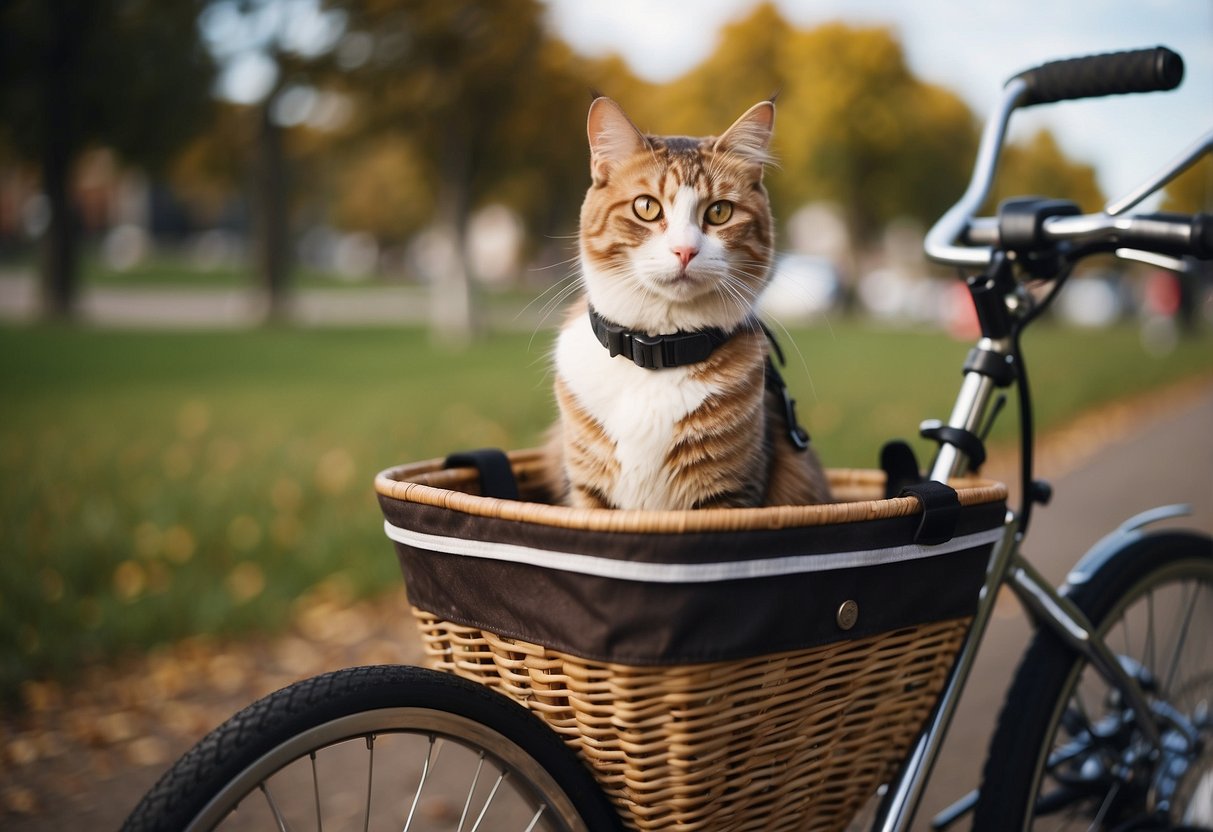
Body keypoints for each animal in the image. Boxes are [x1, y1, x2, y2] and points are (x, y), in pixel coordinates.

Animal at [545, 98, 829, 514]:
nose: (685, 251)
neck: (656, 351)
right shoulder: (589, 496)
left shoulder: (728, 498)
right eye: (646, 207)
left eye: (719, 212)